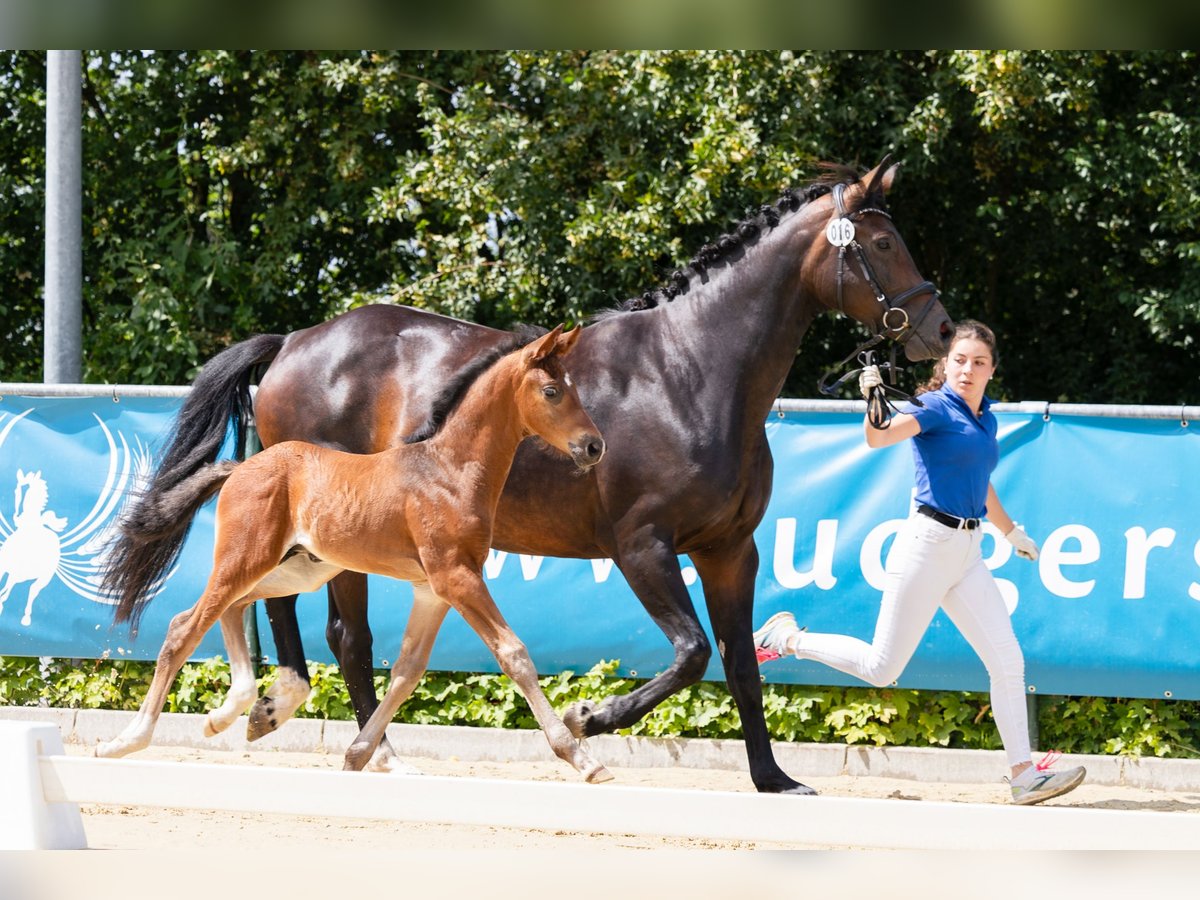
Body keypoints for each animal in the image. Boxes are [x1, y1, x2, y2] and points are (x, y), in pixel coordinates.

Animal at [98, 326, 614, 782]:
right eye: (552, 391)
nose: (594, 446)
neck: (449, 469)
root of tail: (240, 466)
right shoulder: (456, 576)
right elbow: (514, 653)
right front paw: (583, 759)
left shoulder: (432, 589)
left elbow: (407, 671)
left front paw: (359, 755)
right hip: (246, 557)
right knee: (185, 627)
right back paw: (125, 741)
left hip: (301, 568)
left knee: (230, 608)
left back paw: (233, 712)